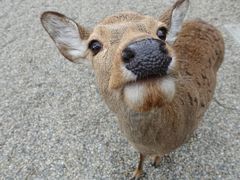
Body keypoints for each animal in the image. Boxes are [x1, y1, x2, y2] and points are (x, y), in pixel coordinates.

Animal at [40, 0, 224, 178]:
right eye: (94, 45)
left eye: (162, 32)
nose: (146, 50)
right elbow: (140, 157)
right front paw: (136, 173)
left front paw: (156, 161)